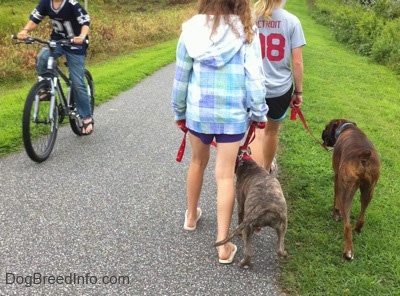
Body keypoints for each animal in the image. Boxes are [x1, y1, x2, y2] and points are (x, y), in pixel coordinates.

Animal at [322, 119, 382, 260]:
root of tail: (364, 155)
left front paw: (335, 214)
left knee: (347, 225)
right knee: (361, 216)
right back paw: (358, 229)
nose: (322, 132)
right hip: (368, 191)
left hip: (346, 191)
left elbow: (336, 200)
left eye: (326, 127)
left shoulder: (337, 177)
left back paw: (348, 252)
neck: (346, 127)